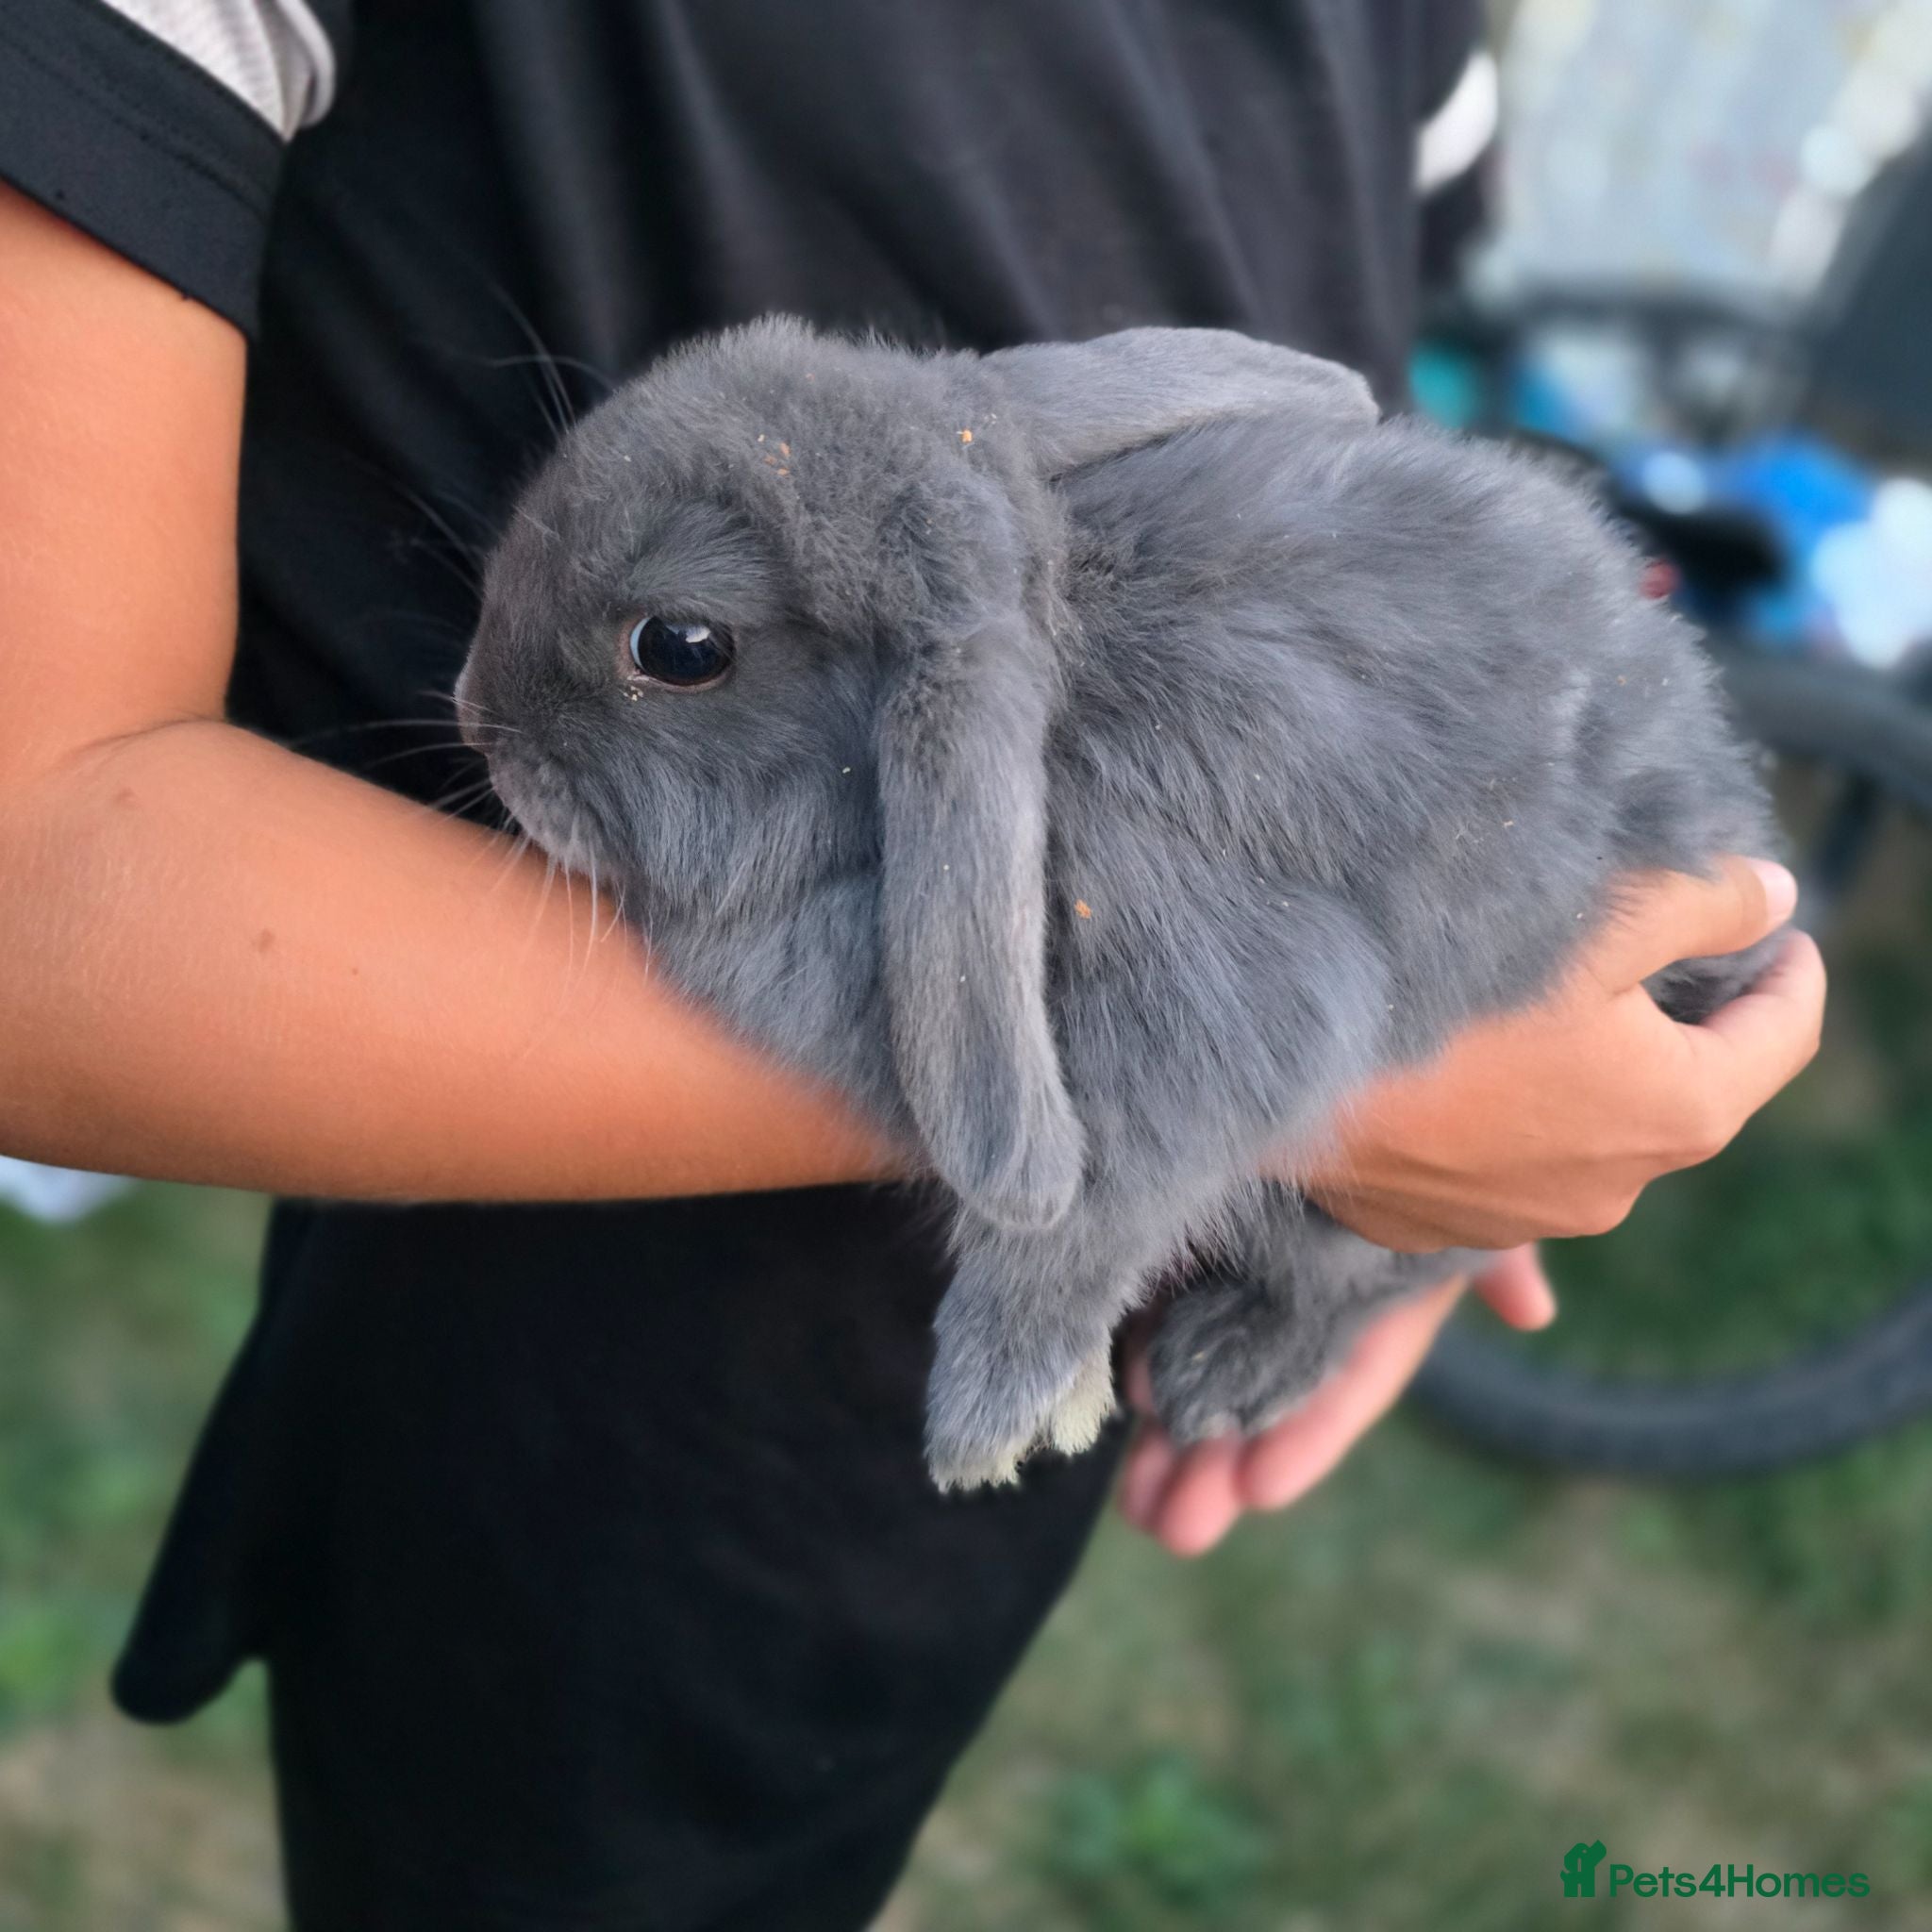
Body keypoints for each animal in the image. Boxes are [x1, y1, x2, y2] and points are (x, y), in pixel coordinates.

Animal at [455, 317, 1784, 1491]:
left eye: (678, 646)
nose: (473, 712)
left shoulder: (1215, 1013)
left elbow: (1087, 1216)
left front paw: (991, 1414)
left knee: (1390, 1276)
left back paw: (1227, 1369)